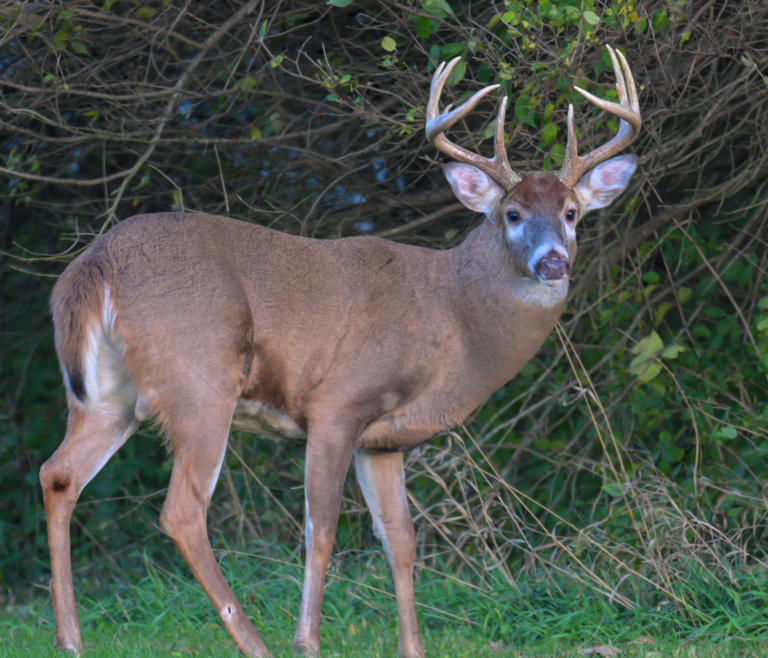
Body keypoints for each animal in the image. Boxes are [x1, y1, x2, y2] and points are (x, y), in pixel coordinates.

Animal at [40, 45, 641, 657]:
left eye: (571, 212)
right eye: (512, 214)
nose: (553, 262)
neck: (449, 314)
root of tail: (93, 267)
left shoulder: (384, 438)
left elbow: (400, 537)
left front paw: (412, 648)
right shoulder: (338, 404)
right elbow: (321, 527)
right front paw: (307, 640)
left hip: (107, 397)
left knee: (58, 474)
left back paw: (70, 639)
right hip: (199, 379)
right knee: (182, 512)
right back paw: (254, 643)